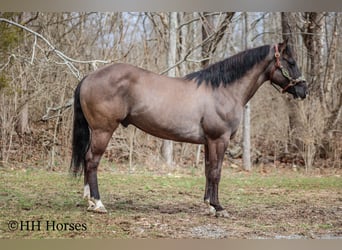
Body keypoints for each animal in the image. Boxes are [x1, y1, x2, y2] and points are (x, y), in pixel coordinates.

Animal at [69, 39, 308, 217]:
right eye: (291, 62)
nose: (304, 89)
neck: (223, 90)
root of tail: (89, 77)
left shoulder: (208, 142)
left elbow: (208, 171)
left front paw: (209, 205)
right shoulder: (219, 139)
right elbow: (216, 172)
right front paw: (219, 207)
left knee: (87, 160)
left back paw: (89, 200)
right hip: (103, 131)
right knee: (92, 160)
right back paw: (98, 203)